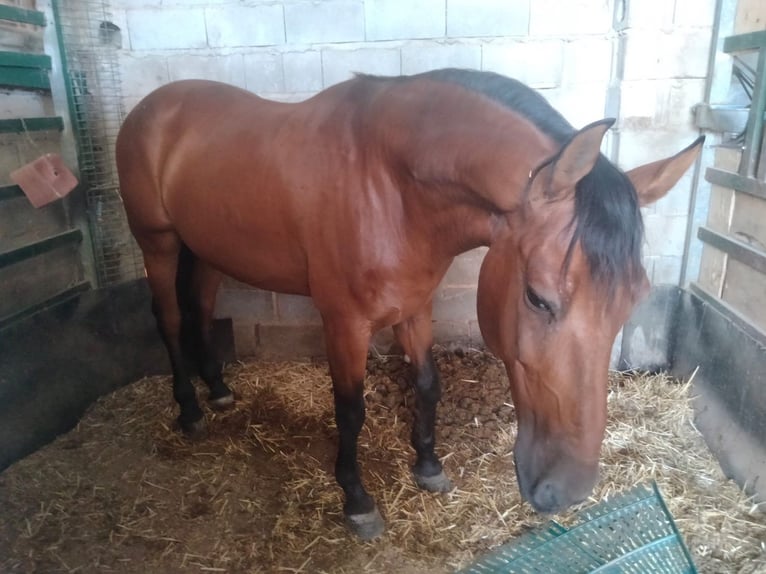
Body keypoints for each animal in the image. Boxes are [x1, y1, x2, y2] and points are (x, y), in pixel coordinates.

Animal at [117, 70, 704, 544]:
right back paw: (189, 410)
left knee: (199, 307)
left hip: (207, 249)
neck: (387, 186)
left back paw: (217, 389)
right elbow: (350, 410)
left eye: (633, 300)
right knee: (171, 319)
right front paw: (357, 502)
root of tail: (153, 105)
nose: (567, 489)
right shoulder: (344, 323)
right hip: (159, 244)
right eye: (538, 297)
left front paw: (427, 465)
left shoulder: (414, 307)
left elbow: (427, 384)